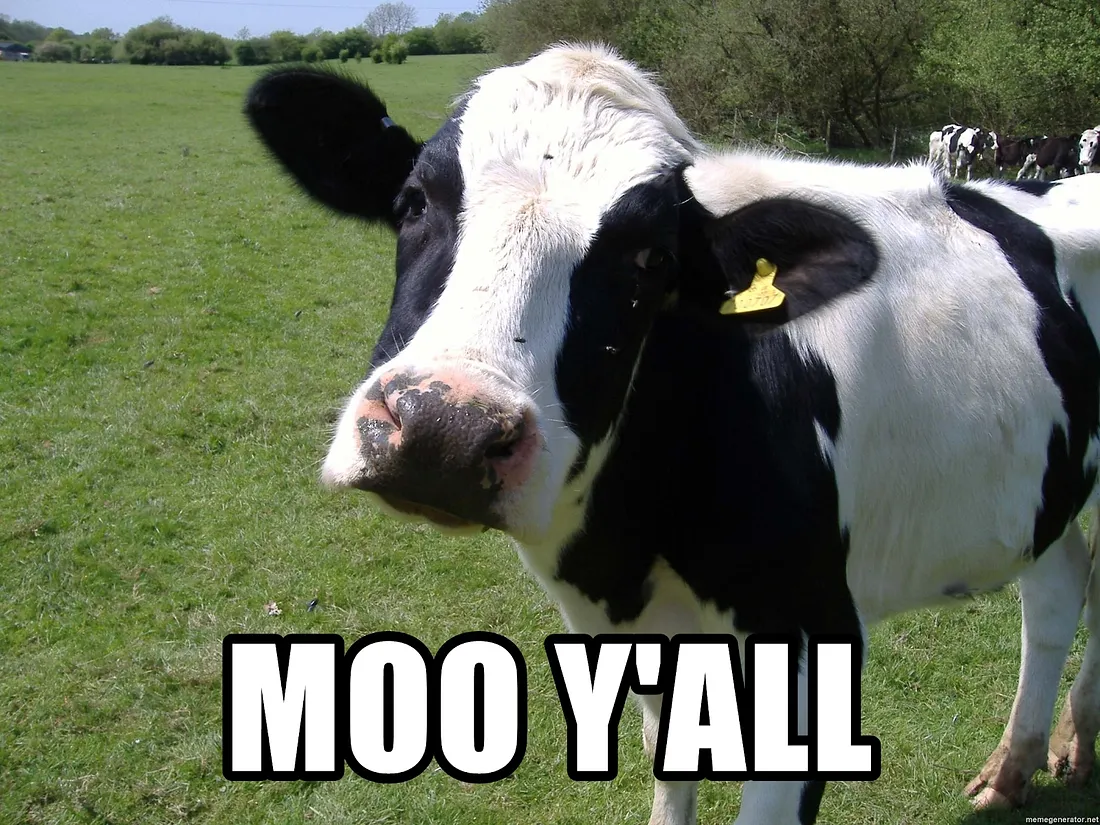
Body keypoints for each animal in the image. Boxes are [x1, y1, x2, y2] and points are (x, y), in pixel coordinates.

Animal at [245, 46, 1100, 825]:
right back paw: (1018, 766)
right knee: (1059, 586)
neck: (625, 546)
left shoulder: (811, 632)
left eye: (650, 258)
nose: (443, 429)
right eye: (414, 200)